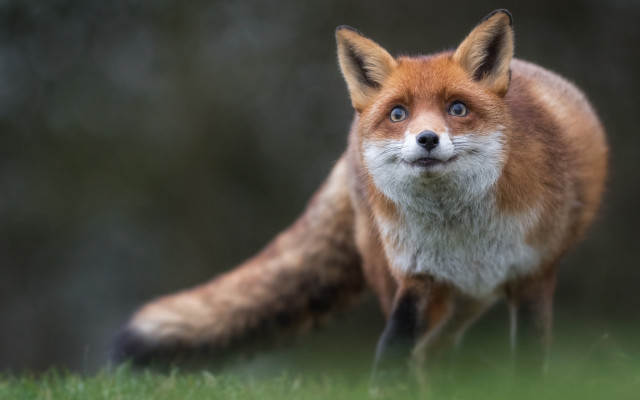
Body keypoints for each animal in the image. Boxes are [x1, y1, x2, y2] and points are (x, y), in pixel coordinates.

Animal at [113, 9, 607, 388]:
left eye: (458, 109)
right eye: (398, 113)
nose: (427, 139)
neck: (464, 233)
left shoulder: (532, 275)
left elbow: (529, 361)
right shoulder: (417, 274)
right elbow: (394, 344)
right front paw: (388, 388)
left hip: (471, 299)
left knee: (438, 351)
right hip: (405, 278)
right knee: (428, 352)